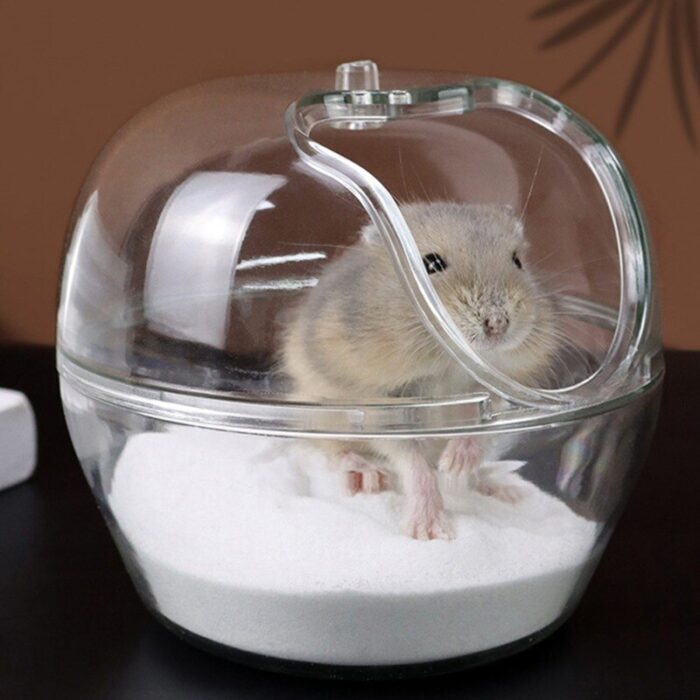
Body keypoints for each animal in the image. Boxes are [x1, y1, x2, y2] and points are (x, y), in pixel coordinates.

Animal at [280, 202, 560, 540]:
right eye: (432, 263)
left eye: (517, 261)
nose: (497, 323)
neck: (448, 363)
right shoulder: (382, 407)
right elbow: (413, 462)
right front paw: (429, 531)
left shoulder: (498, 393)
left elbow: (480, 427)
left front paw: (454, 466)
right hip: (318, 410)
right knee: (332, 449)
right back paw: (366, 476)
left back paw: (501, 490)